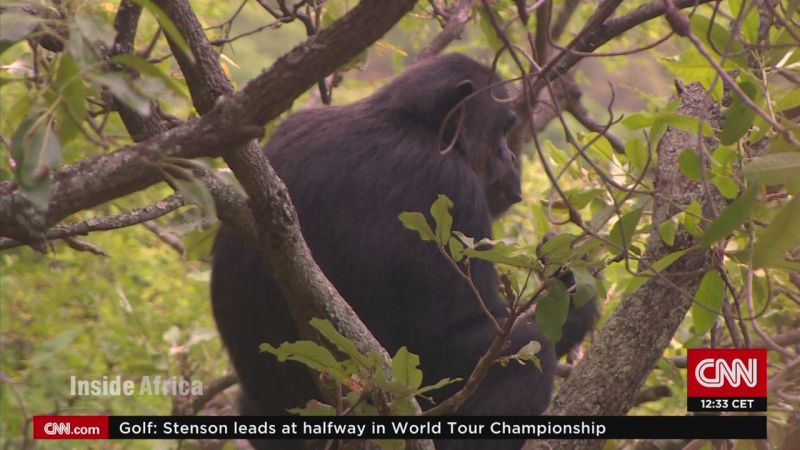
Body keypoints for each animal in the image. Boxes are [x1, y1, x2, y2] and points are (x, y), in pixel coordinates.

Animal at [209, 54, 596, 450]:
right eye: (503, 129)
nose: (511, 156)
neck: (411, 121)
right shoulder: (452, 186)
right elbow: (475, 330)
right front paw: (572, 285)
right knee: (525, 352)